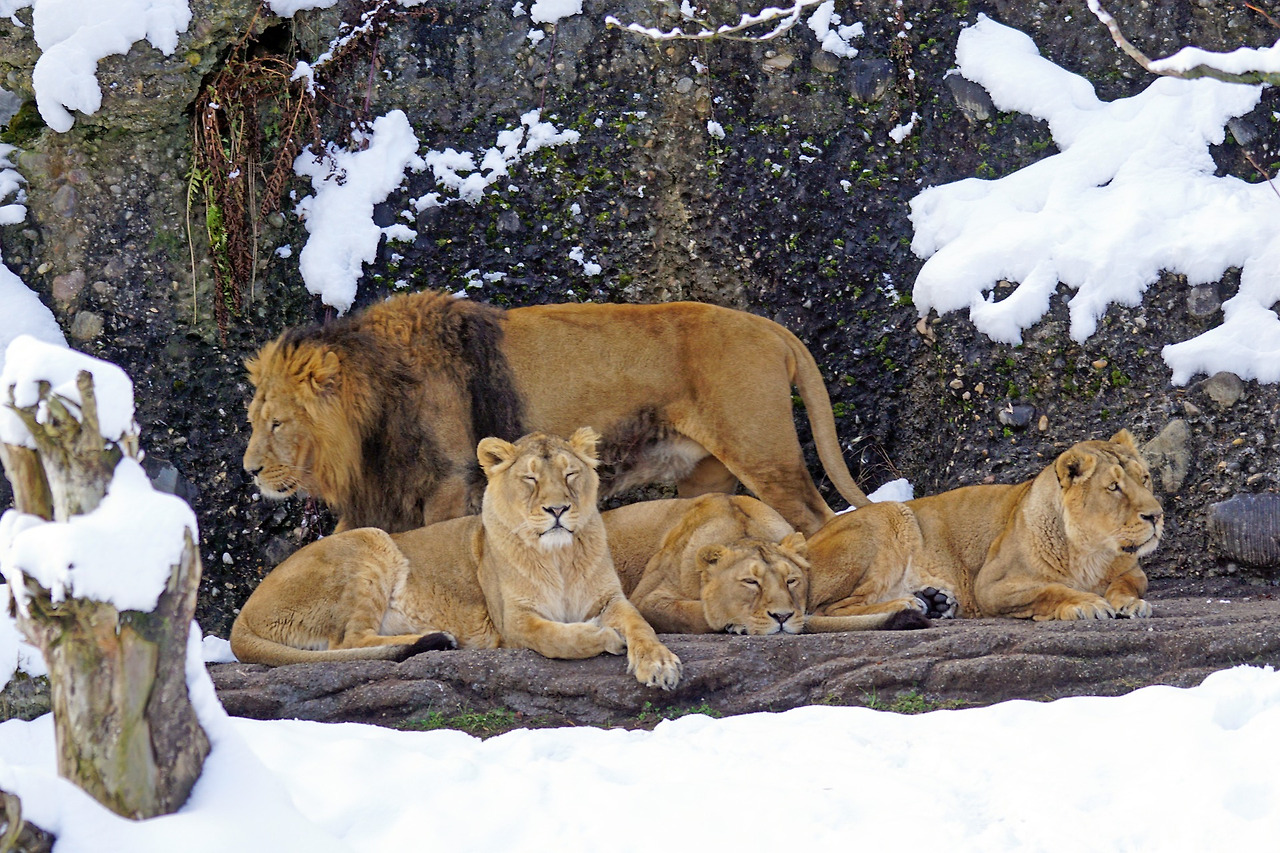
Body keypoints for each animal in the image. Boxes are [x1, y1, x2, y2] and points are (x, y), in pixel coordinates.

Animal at [230, 428, 683, 690]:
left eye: (570, 474)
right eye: (530, 478)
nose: (558, 509)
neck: (559, 557)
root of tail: (242, 616)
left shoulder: (611, 598)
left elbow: (640, 624)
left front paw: (659, 664)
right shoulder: (514, 622)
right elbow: (558, 639)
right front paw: (602, 636)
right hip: (370, 540)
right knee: (349, 641)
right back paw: (440, 639)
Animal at [243, 290, 870, 537]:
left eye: (277, 423)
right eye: (253, 421)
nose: (248, 471)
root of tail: (771, 327)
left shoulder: (446, 483)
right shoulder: (381, 497)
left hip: (763, 452)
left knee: (819, 518)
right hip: (705, 474)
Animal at [602, 493, 930, 634]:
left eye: (791, 580)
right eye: (751, 582)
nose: (782, 616)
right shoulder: (645, 597)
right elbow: (693, 612)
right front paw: (735, 621)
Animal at [804, 430, 1164, 621]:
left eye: (1144, 478)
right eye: (1114, 487)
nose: (1157, 515)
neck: (1090, 552)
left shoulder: (1133, 571)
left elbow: (1125, 585)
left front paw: (1130, 604)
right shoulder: (990, 586)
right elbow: (1051, 589)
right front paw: (1086, 603)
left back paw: (936, 602)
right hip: (890, 516)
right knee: (825, 609)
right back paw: (907, 604)